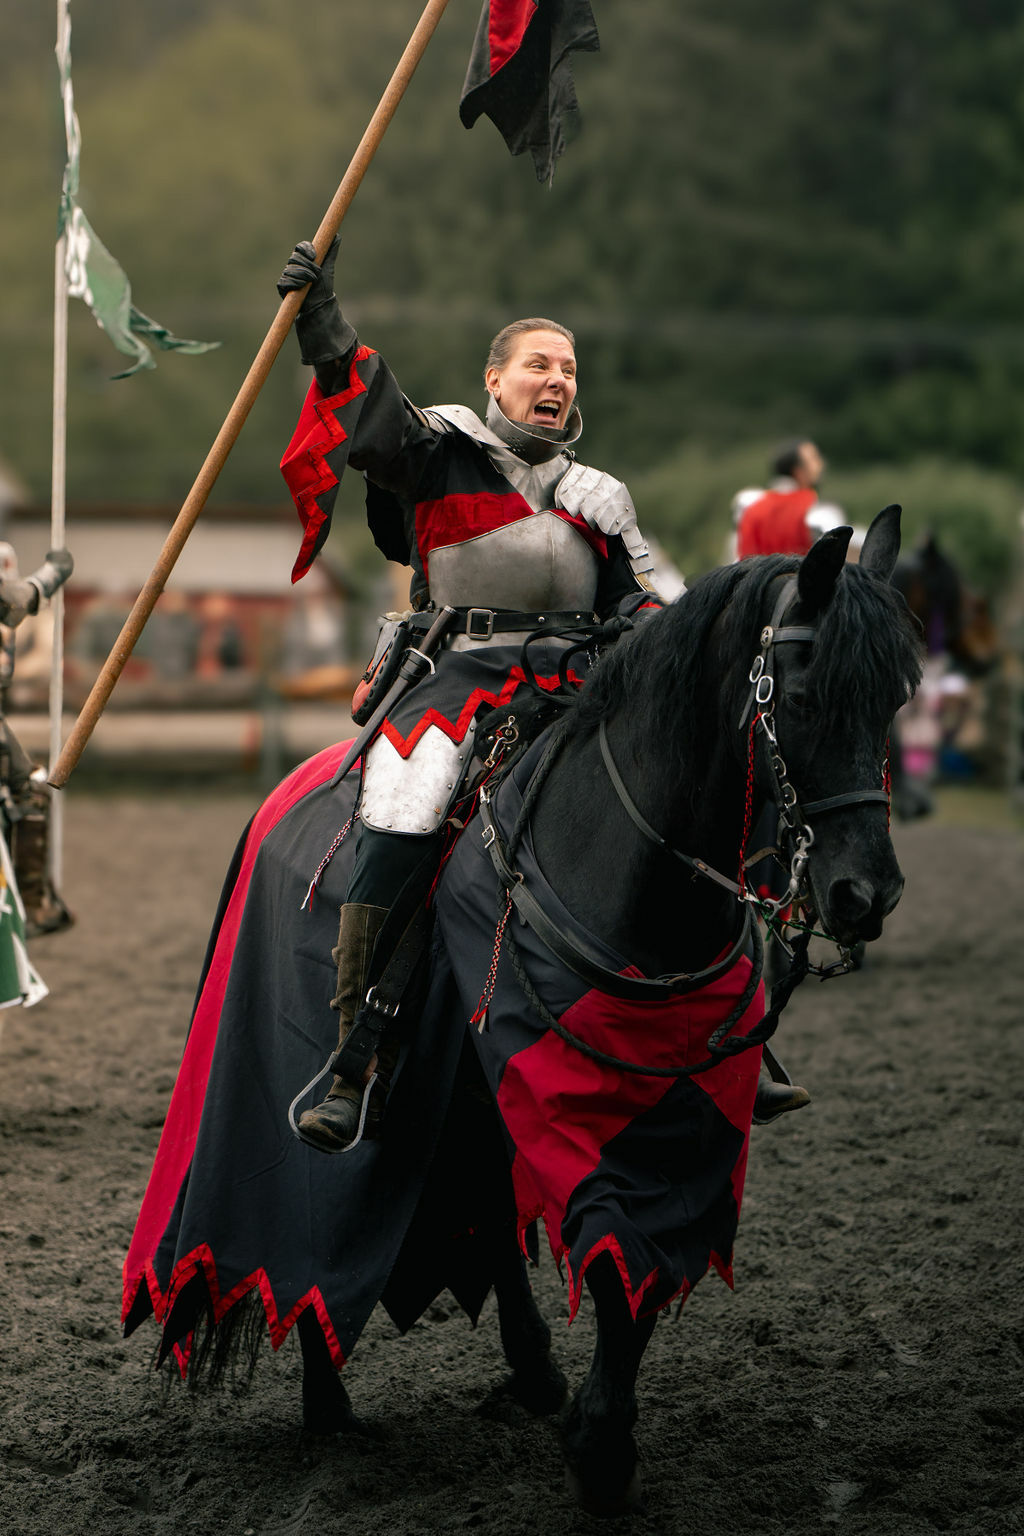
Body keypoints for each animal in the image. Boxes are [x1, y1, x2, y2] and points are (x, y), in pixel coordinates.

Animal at [122, 500, 921, 1511]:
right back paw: (330, 1396)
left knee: (485, 1212)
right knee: (310, 1229)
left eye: (895, 700)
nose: (865, 894)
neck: (628, 866)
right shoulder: (561, 1094)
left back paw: (526, 1372)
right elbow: (608, 1255)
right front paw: (601, 1446)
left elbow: (626, 1257)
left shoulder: (653, 1118)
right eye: (807, 699)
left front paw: (593, 1424)